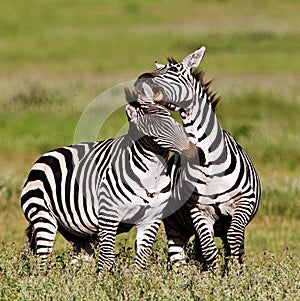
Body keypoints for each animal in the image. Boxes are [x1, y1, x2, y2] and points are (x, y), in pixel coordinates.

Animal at [20, 86, 195, 272]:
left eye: (172, 119)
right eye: (152, 126)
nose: (193, 152)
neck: (150, 174)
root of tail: (44, 157)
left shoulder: (152, 217)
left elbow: (142, 256)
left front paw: (136, 278)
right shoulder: (109, 214)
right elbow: (107, 257)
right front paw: (104, 279)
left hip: (78, 233)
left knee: (78, 262)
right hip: (44, 217)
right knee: (41, 260)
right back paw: (44, 278)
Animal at [135, 47, 262, 272]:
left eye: (174, 71)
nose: (140, 81)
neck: (208, 162)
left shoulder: (244, 203)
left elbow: (234, 241)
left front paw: (234, 273)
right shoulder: (199, 210)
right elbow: (209, 250)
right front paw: (213, 277)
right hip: (175, 226)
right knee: (179, 257)